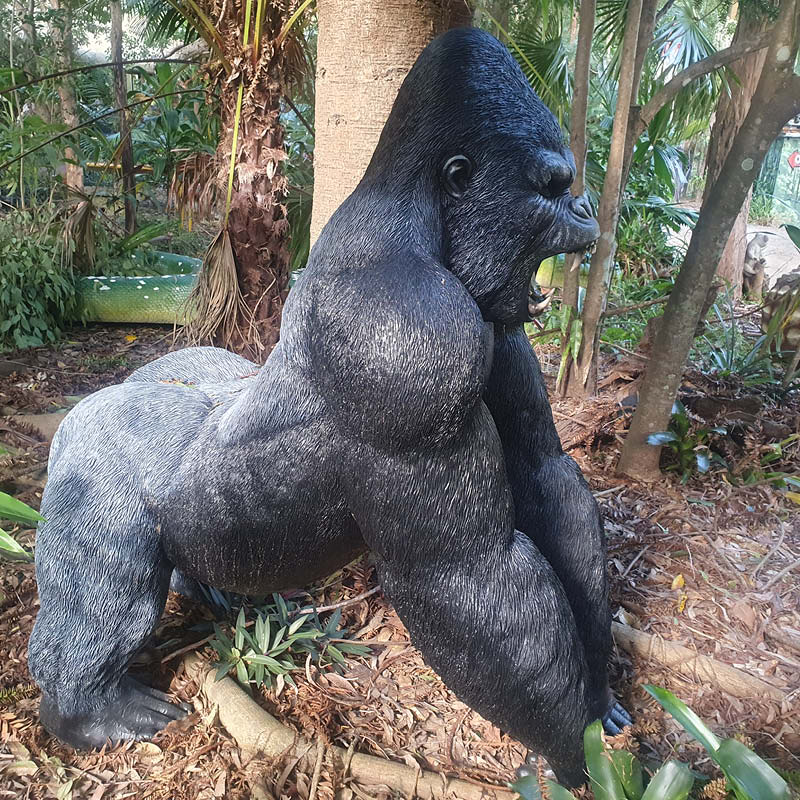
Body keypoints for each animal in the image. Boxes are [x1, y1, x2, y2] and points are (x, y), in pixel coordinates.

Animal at [28, 28, 629, 786]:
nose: (585, 210)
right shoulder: (412, 336)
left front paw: (598, 702)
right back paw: (83, 711)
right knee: (108, 593)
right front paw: (576, 755)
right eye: (550, 187)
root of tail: (77, 415)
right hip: (90, 469)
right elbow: (470, 573)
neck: (421, 216)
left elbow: (547, 477)